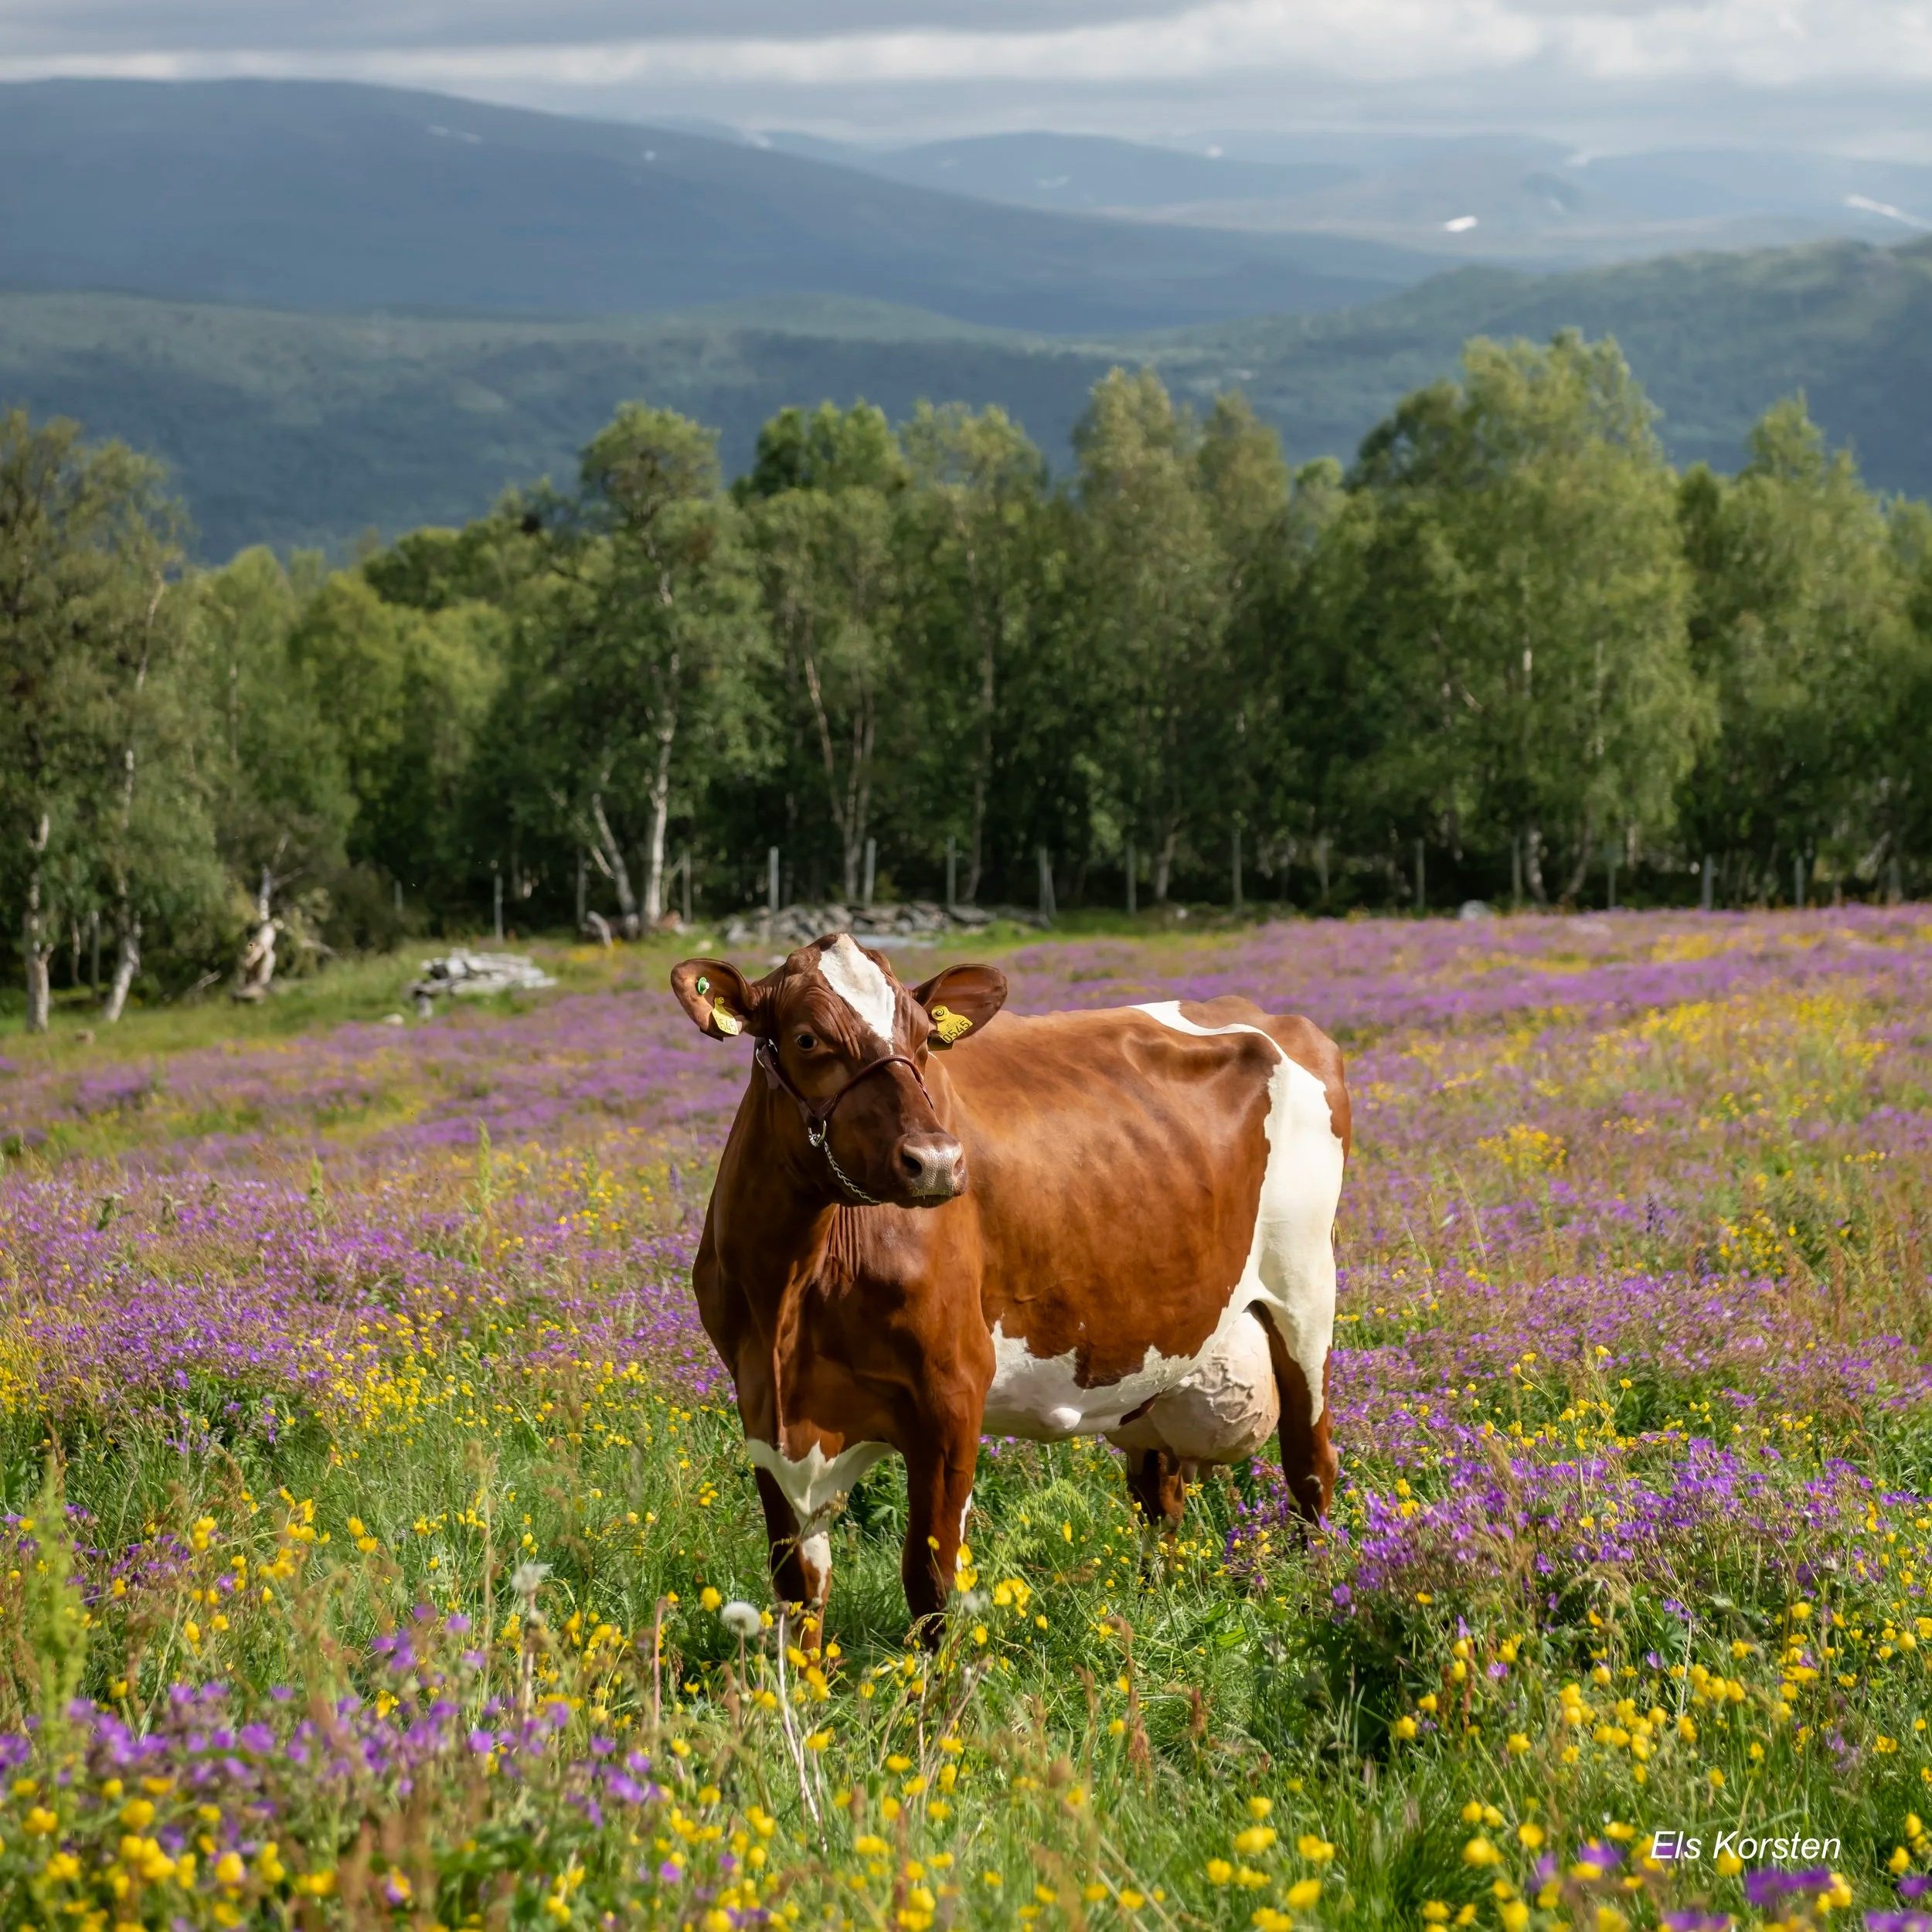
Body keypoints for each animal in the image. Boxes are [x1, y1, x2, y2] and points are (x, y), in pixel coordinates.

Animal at [669, 933, 1349, 1648]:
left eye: (923, 1038)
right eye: (806, 1038)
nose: (936, 1161)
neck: (790, 1295)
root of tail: (1273, 1018)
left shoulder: (952, 1390)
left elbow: (932, 1580)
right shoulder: (763, 1408)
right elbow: (798, 1591)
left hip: (1305, 1296)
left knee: (1311, 1467)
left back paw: (1316, 1605)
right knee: (1159, 1494)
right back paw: (1153, 1609)